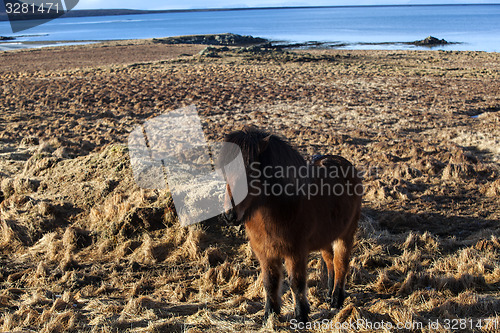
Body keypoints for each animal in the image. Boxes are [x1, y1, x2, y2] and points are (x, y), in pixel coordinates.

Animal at [217, 126, 362, 322]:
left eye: (251, 172)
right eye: (225, 173)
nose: (230, 215)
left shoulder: (295, 252)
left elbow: (296, 283)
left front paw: (301, 316)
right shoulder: (265, 252)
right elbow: (269, 282)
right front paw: (270, 315)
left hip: (345, 235)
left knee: (341, 264)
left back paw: (336, 300)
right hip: (326, 237)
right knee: (330, 261)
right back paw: (328, 294)